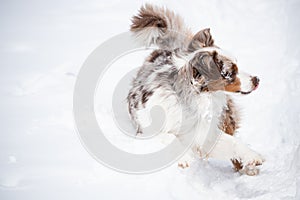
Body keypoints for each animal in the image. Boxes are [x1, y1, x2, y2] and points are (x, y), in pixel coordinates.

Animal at [127, 3, 264, 175]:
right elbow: (170, 137)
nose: (257, 79)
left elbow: (233, 143)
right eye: (231, 72)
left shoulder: (205, 134)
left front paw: (253, 156)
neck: (197, 99)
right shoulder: (149, 130)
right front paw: (184, 158)